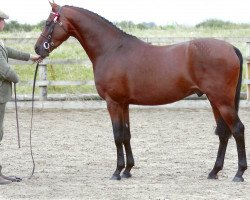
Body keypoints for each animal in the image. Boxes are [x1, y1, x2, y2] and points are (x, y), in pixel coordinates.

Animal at [34, 1, 247, 183]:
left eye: (48, 23)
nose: (37, 48)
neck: (112, 49)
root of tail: (231, 47)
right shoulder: (124, 103)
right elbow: (126, 134)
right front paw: (128, 170)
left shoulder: (113, 103)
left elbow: (117, 135)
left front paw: (117, 172)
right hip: (214, 100)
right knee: (223, 133)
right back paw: (214, 171)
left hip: (222, 101)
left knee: (237, 129)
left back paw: (239, 173)